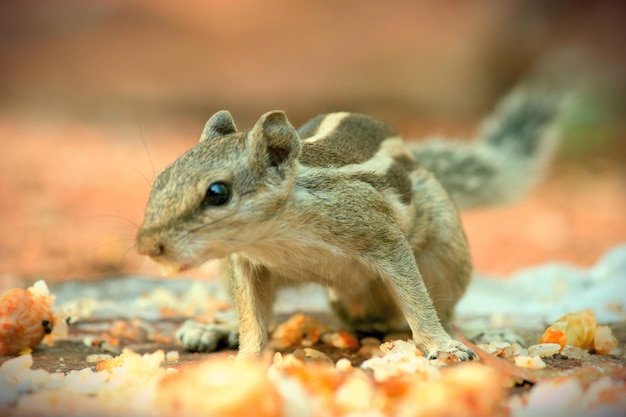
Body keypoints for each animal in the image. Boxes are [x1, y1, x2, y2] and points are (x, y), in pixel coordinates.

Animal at [135, 88, 560, 360]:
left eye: (218, 193)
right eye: (159, 181)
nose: (146, 246)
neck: (276, 235)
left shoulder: (379, 233)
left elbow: (417, 299)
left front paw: (440, 346)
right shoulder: (242, 262)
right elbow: (252, 318)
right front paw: (245, 359)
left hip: (447, 251)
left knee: (448, 308)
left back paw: (480, 334)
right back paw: (216, 327)